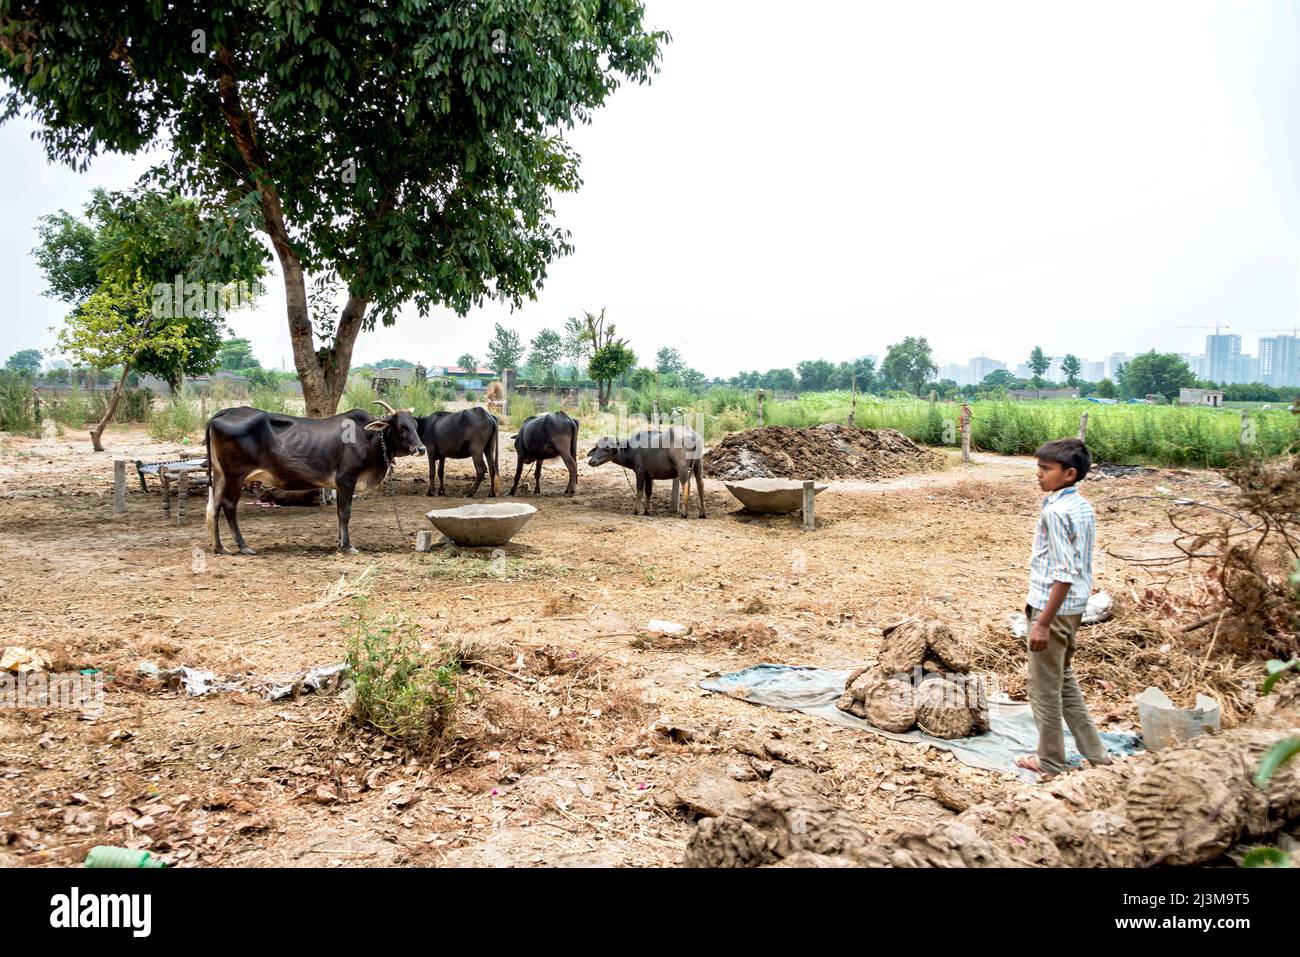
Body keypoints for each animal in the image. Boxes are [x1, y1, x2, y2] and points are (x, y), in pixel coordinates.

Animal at [205, 403, 423, 553]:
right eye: (402, 427)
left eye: (415, 425)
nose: (421, 449)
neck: (370, 438)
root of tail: (227, 411)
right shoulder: (347, 480)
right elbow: (346, 513)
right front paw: (348, 546)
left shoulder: (338, 485)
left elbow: (339, 514)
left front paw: (340, 543)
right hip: (235, 476)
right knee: (229, 507)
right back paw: (243, 546)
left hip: (220, 476)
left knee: (213, 507)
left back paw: (219, 547)